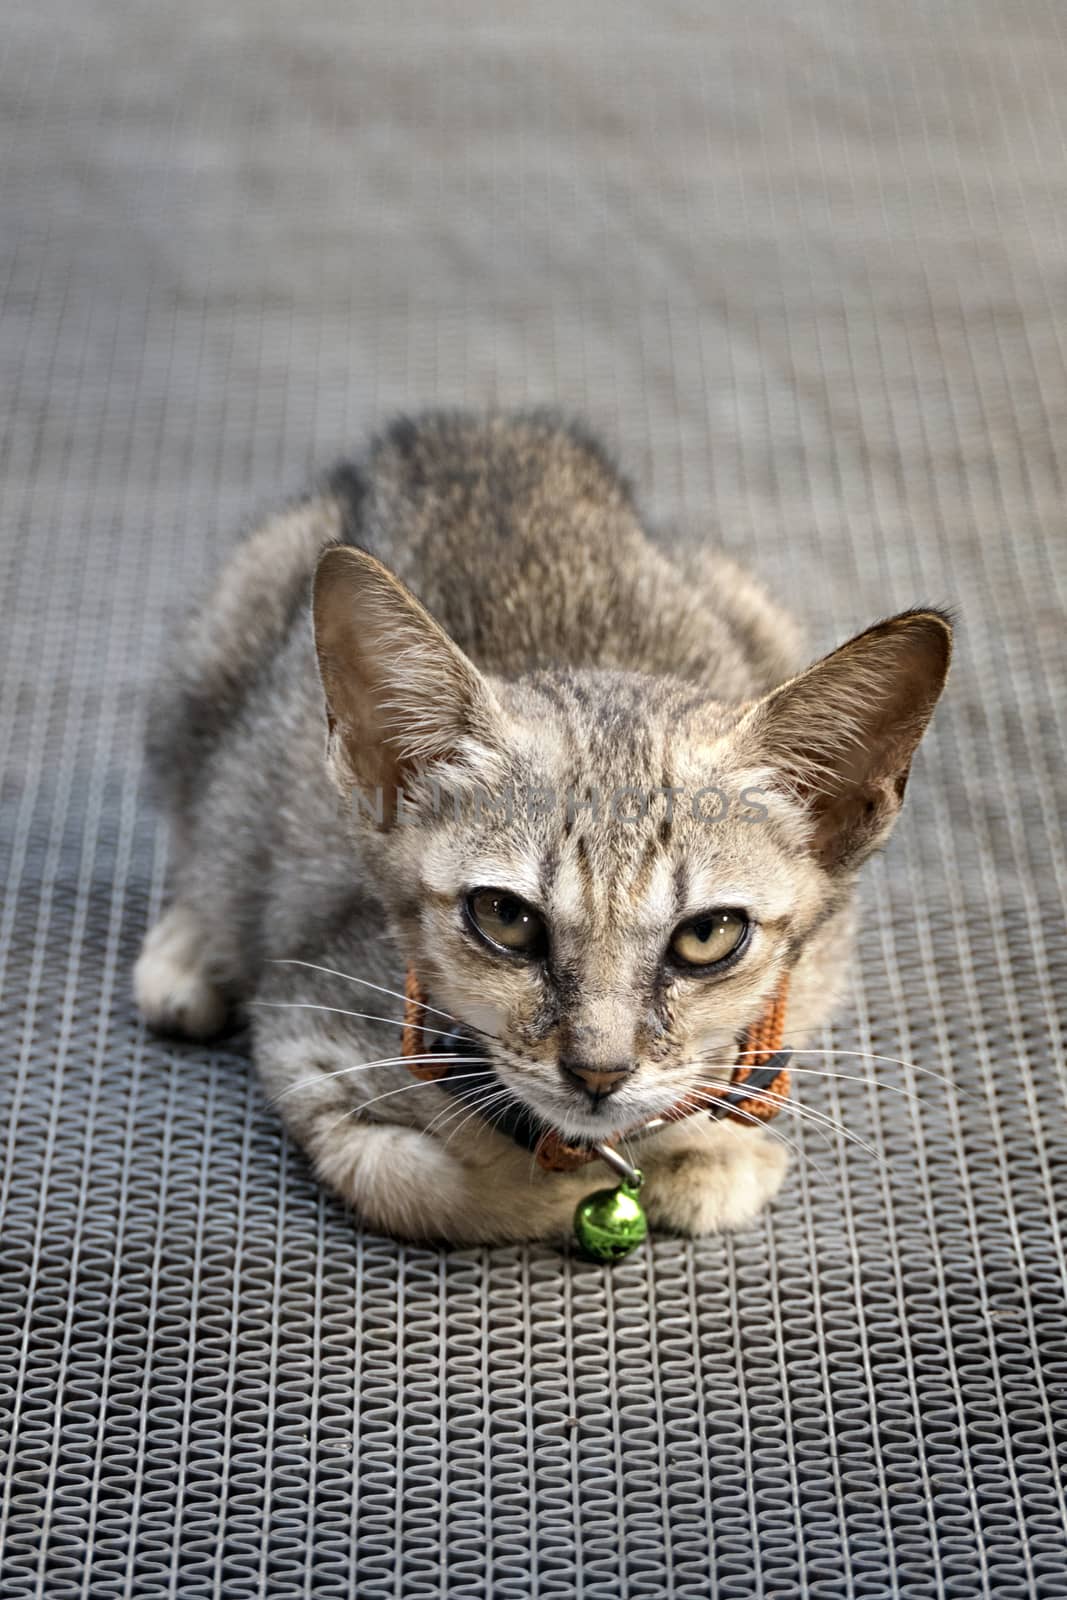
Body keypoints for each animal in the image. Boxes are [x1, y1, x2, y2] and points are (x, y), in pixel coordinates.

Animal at [135, 406, 953, 1241]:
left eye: (706, 935)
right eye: (504, 916)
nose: (598, 1070)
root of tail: (476, 428)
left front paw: (705, 1149)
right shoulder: (306, 1032)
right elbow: (429, 1186)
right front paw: (573, 1187)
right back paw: (187, 951)